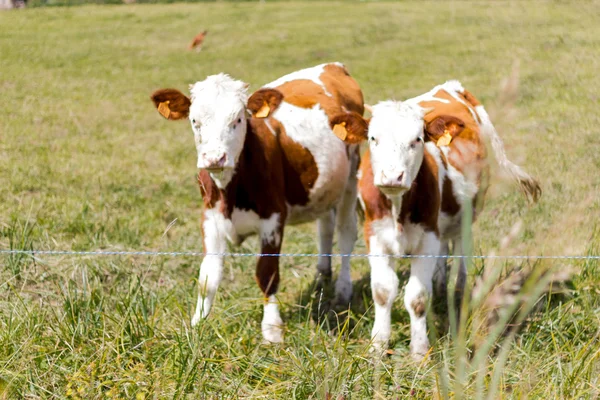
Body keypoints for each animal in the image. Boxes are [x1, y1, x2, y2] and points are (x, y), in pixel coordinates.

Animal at [152, 63, 364, 344]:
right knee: (325, 228)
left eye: (238, 120)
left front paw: (272, 329)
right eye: (194, 121)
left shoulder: (273, 219)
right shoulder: (209, 219)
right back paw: (322, 274)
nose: (214, 158)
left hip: (351, 177)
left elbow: (267, 273)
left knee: (346, 234)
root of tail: (331, 66)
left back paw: (342, 289)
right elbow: (207, 278)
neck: (230, 191)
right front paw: (197, 325)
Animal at [330, 79, 540, 358]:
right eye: (373, 138)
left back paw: (458, 292)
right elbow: (383, 292)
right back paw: (440, 284)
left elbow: (417, 297)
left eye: (417, 139)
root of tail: (451, 86)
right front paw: (378, 346)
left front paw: (419, 352)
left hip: (468, 214)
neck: (397, 207)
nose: (392, 176)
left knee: (461, 252)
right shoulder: (374, 235)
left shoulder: (427, 236)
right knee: (444, 249)